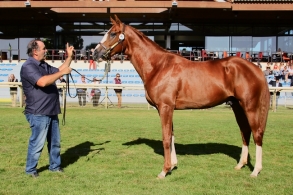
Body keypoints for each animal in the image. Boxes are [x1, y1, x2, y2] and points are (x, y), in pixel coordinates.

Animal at [93, 15, 270, 178]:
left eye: (113, 33)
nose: (95, 53)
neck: (159, 66)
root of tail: (256, 68)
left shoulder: (165, 107)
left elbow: (166, 138)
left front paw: (164, 171)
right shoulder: (166, 108)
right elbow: (171, 136)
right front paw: (173, 165)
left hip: (250, 106)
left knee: (257, 134)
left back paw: (256, 171)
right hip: (237, 106)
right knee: (245, 132)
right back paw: (241, 164)